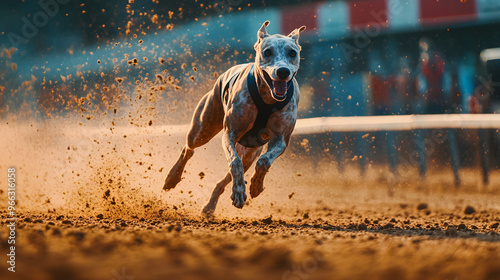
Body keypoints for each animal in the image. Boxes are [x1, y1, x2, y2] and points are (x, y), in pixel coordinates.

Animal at [163, 20, 304, 218]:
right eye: (267, 52)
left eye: (292, 52)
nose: (282, 71)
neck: (267, 99)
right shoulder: (230, 134)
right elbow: (234, 162)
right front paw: (240, 192)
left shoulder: (280, 140)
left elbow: (264, 161)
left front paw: (256, 185)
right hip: (203, 127)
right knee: (188, 148)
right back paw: (172, 177)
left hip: (249, 153)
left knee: (223, 180)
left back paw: (210, 206)